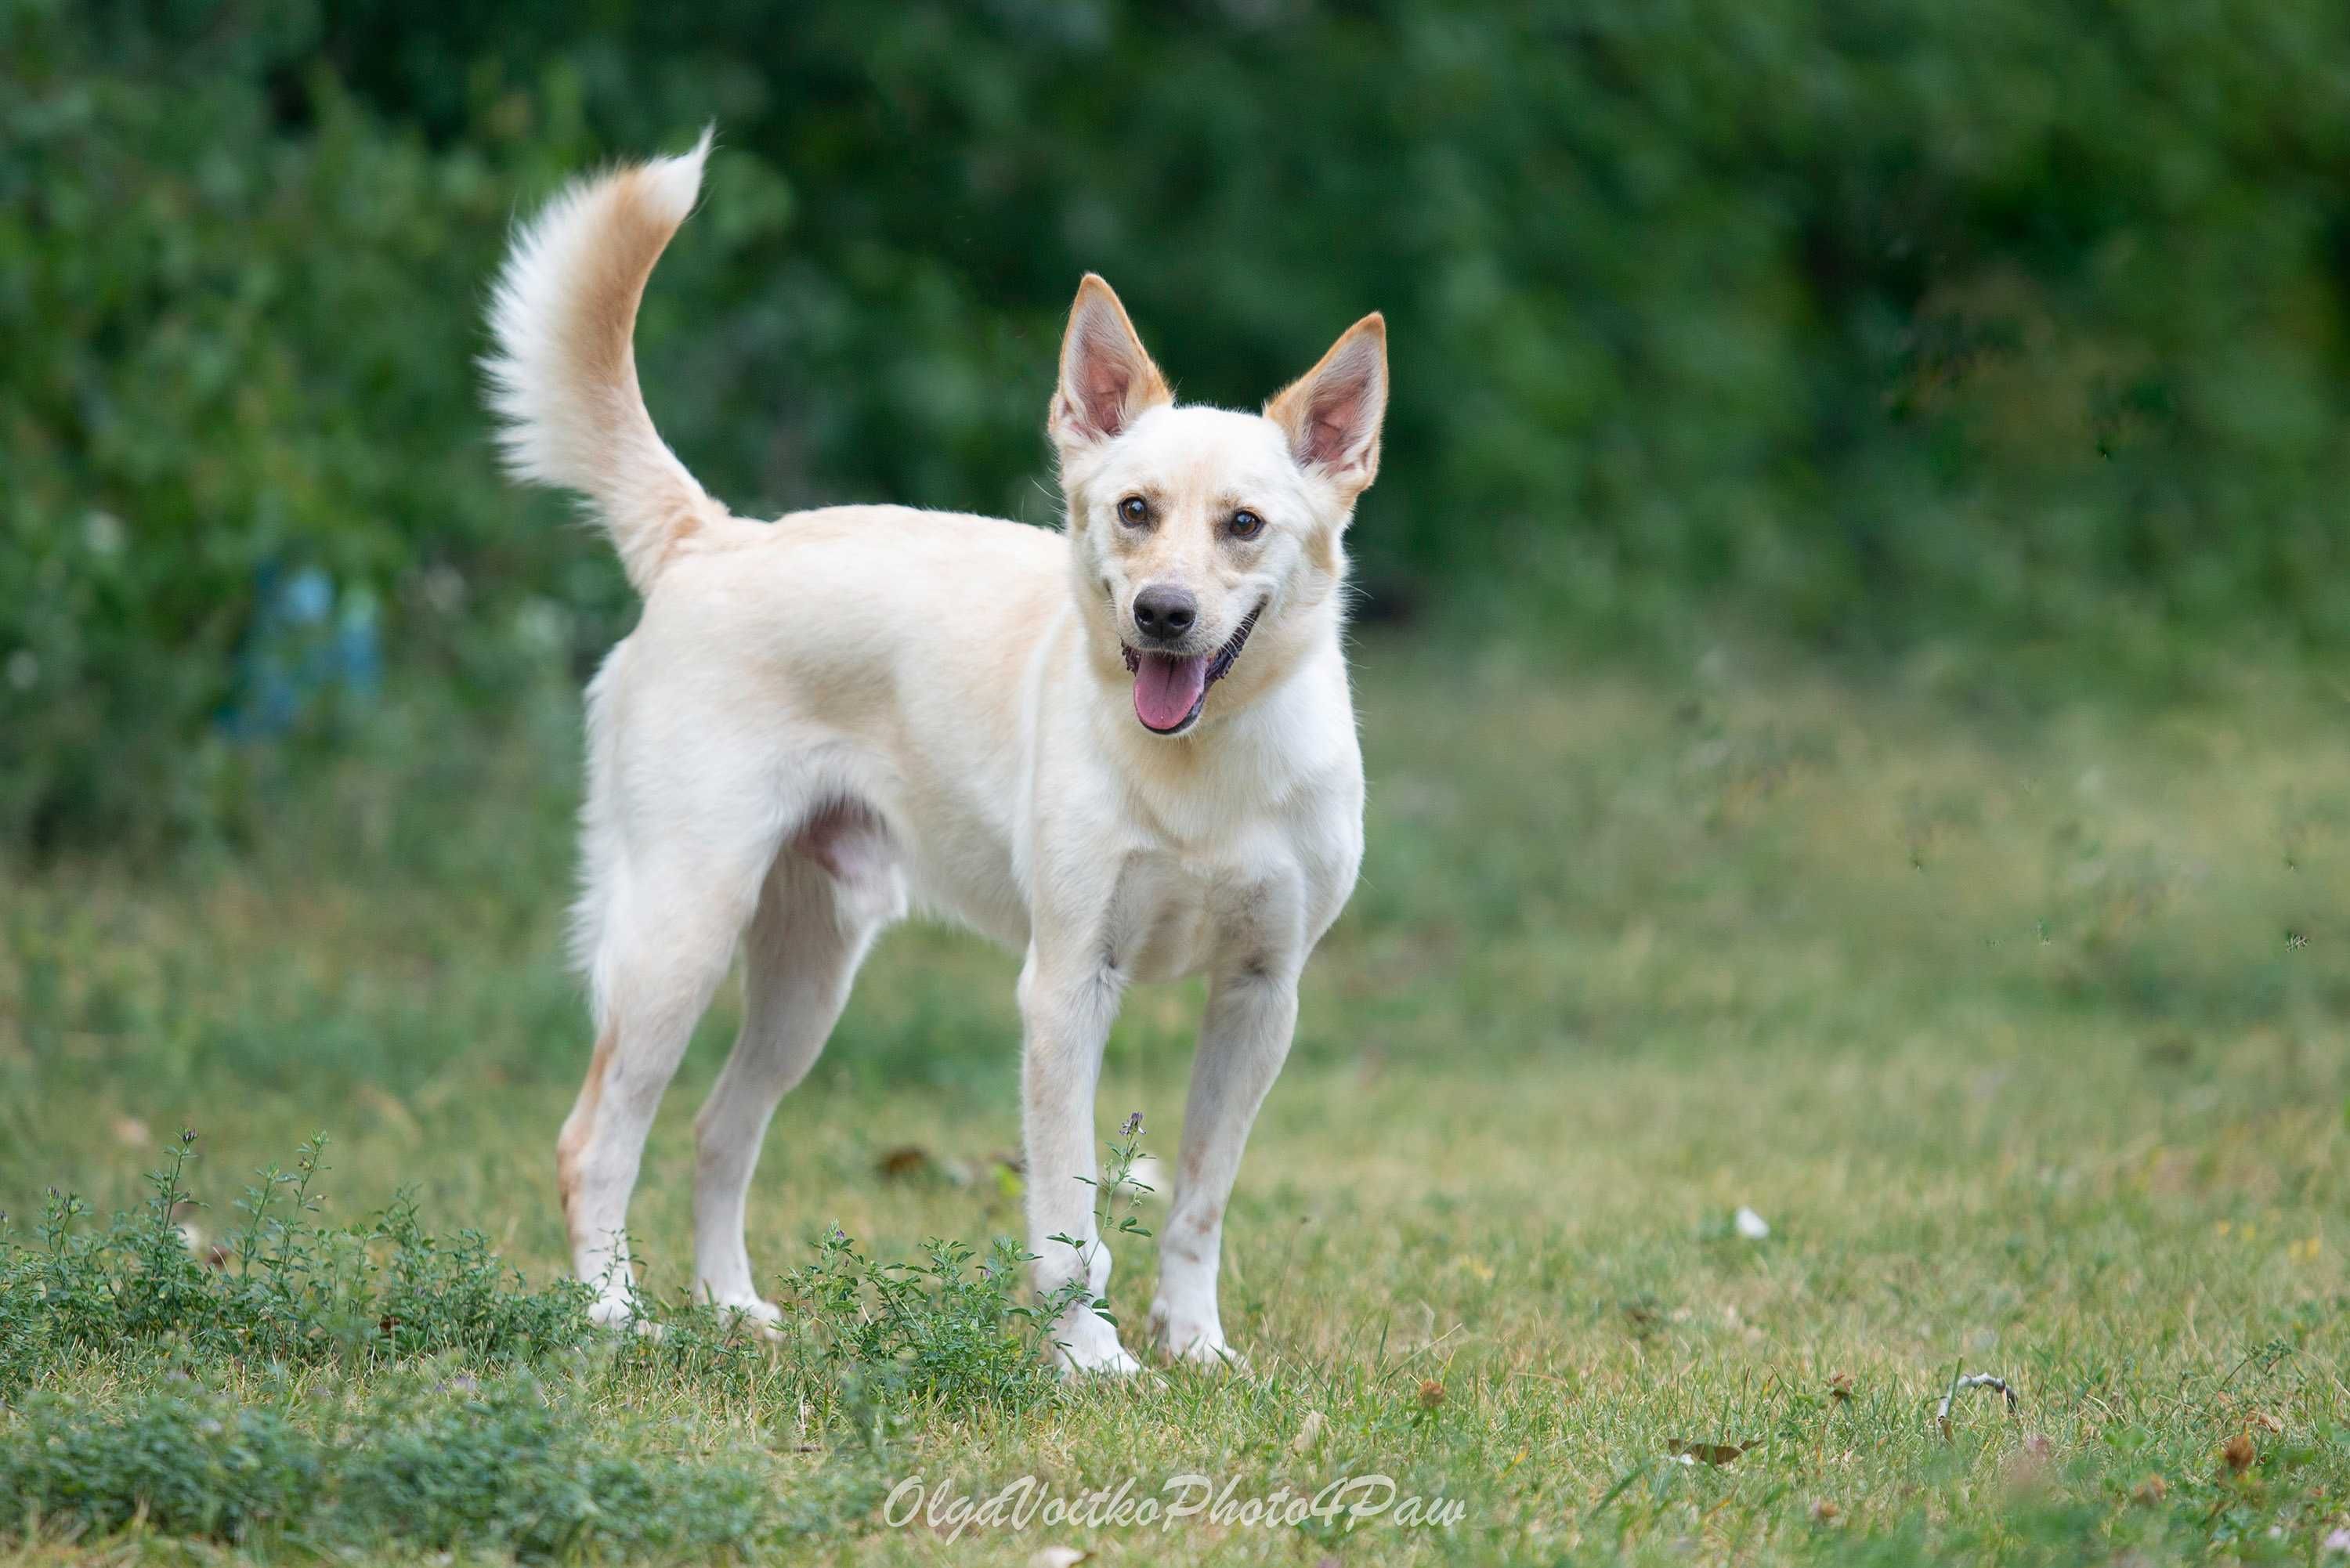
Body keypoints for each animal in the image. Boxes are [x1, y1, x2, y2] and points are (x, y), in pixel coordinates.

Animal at [484, 132, 1382, 1372]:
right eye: (1135, 511)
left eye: (1244, 525)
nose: (1161, 614)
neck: (1201, 766)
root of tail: (712, 536)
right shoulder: (1066, 988)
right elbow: (1069, 1218)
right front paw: (1092, 1362)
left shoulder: (1259, 995)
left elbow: (1198, 1201)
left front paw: (1196, 1346)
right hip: (681, 937)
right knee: (596, 1143)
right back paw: (616, 1316)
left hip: (810, 970)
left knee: (718, 1131)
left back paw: (732, 1308)